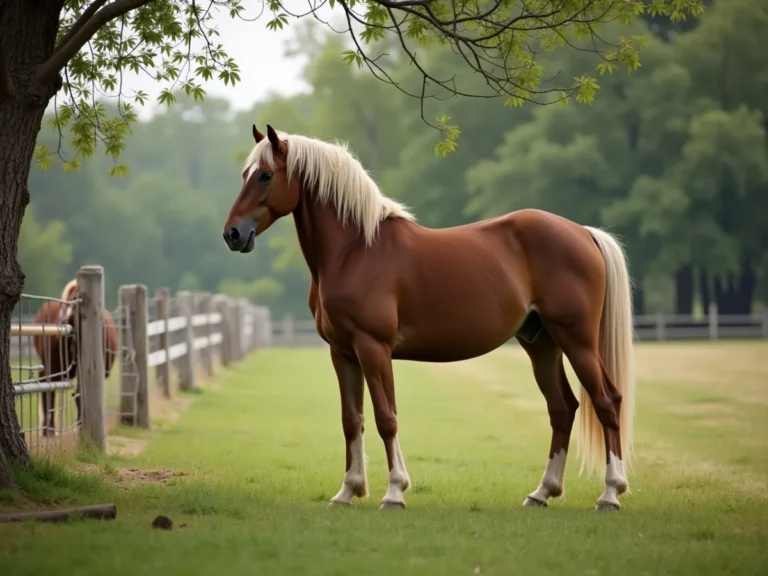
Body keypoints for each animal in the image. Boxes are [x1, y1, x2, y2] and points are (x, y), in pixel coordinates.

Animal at [33, 279, 118, 436]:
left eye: (75, 304)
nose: (63, 321)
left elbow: (79, 395)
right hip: (52, 364)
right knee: (47, 388)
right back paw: (49, 429)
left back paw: (50, 428)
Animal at [222, 125, 635, 512]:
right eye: (244, 174)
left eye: (265, 175)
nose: (233, 234)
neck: (355, 250)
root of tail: (583, 232)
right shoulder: (342, 354)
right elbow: (351, 419)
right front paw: (348, 491)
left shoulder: (373, 347)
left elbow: (386, 417)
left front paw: (394, 492)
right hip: (541, 343)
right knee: (562, 408)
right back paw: (542, 492)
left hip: (577, 339)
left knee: (607, 401)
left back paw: (610, 494)